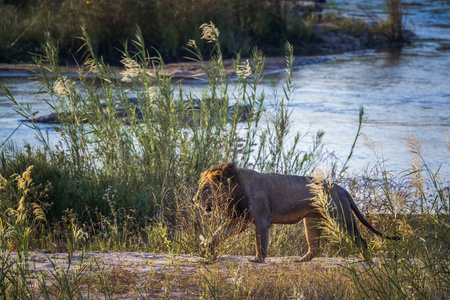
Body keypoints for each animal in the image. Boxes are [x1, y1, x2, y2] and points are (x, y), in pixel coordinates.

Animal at [193, 162, 398, 262]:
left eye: (205, 188)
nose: (194, 200)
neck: (236, 187)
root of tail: (342, 189)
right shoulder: (239, 219)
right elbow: (217, 234)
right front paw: (208, 250)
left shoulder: (261, 220)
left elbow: (260, 242)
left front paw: (258, 260)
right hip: (312, 221)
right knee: (315, 247)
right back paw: (301, 260)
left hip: (340, 219)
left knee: (361, 241)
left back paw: (366, 261)